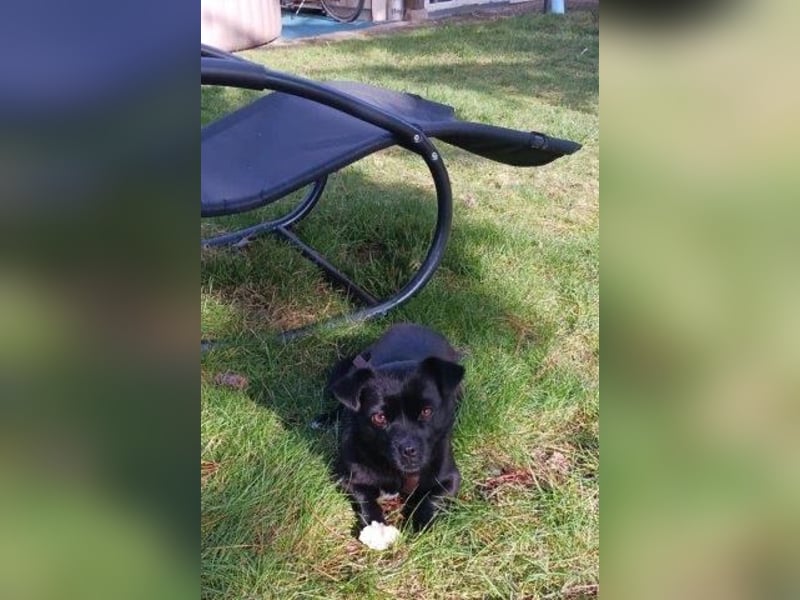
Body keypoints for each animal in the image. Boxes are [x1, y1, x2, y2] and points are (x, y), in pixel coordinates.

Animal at [324, 323, 465, 543]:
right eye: (379, 418)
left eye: (427, 411)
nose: (409, 450)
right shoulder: (348, 479)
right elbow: (366, 500)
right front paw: (376, 526)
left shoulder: (449, 480)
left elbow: (430, 500)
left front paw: (421, 526)